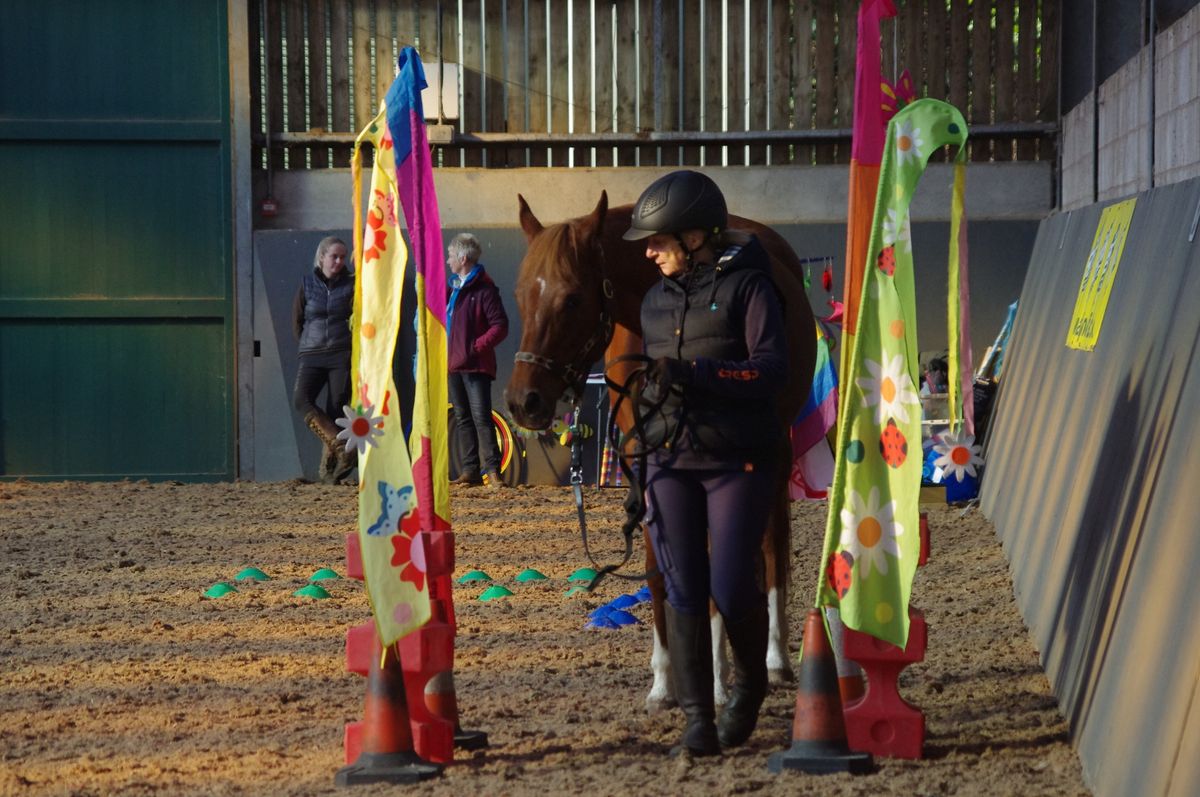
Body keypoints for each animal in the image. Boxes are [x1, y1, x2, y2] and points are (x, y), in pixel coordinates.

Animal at [506, 192, 816, 710]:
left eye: (572, 298)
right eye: (520, 294)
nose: (522, 402)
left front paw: (715, 680)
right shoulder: (646, 465)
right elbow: (657, 570)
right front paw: (664, 681)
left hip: (774, 450)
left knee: (770, 544)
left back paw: (774, 659)